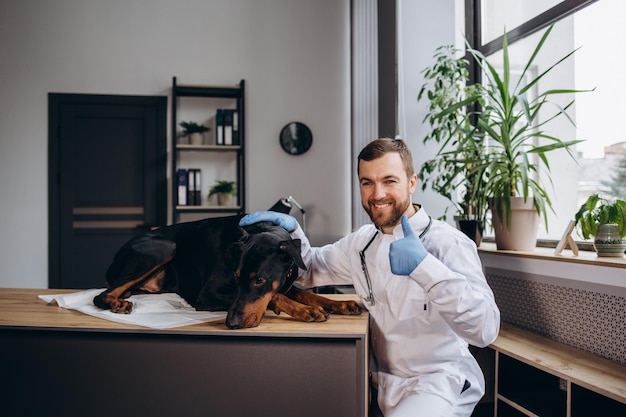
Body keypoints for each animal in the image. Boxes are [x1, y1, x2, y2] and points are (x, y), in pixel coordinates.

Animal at [95, 214, 364, 328]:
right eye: (235, 279)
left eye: (260, 280)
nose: (231, 323)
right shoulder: (206, 296)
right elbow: (276, 296)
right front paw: (305, 310)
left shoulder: (285, 279)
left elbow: (302, 292)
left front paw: (341, 304)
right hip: (165, 245)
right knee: (100, 295)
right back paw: (116, 302)